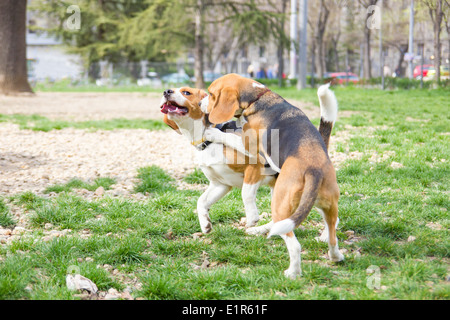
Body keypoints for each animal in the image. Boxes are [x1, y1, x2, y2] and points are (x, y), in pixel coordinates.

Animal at [158, 87, 278, 235]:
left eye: (186, 93)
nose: (166, 91)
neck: (207, 143)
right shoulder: (220, 184)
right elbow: (201, 200)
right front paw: (205, 223)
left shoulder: (255, 166)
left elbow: (246, 193)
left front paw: (252, 217)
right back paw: (260, 230)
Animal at [202, 74, 342, 278]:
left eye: (211, 94)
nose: (201, 104)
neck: (257, 98)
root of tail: (314, 170)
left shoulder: (248, 146)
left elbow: (229, 137)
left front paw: (213, 132)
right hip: (322, 204)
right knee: (331, 234)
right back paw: (334, 255)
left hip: (280, 201)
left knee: (294, 243)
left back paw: (292, 272)